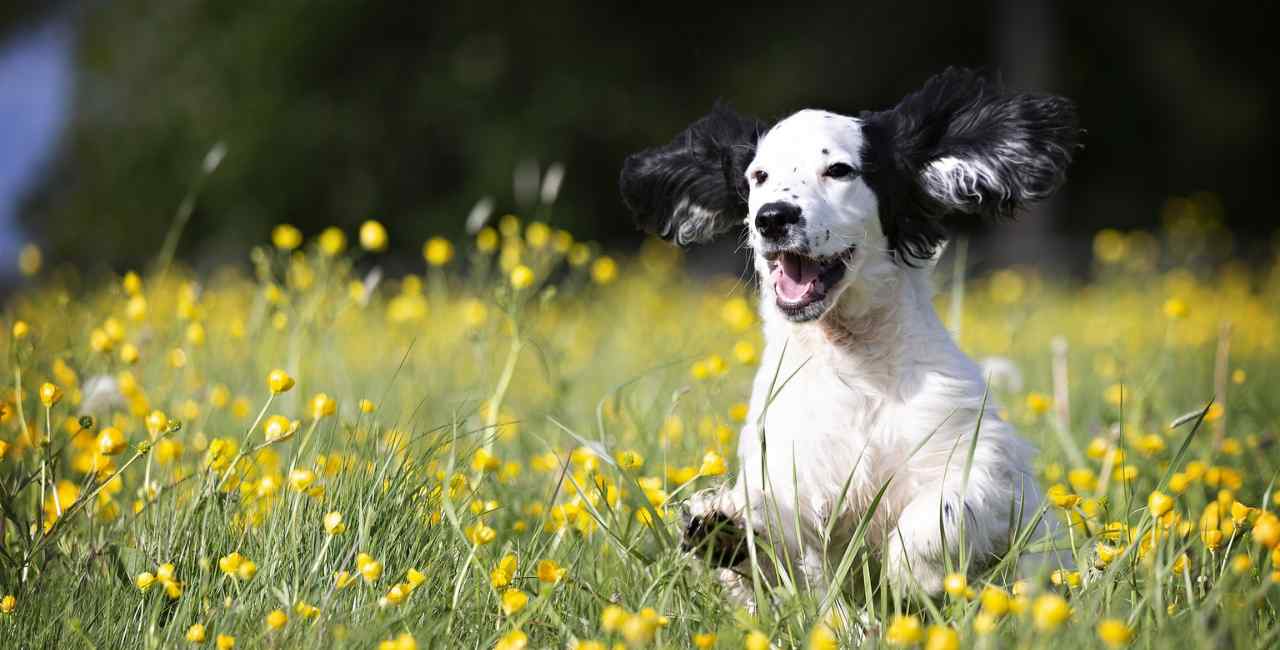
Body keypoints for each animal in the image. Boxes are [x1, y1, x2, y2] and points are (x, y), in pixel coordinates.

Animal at [619, 68, 1080, 601]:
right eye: (758, 177)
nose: (772, 217)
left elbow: (942, 510)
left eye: (839, 170)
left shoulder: (981, 459)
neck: (852, 361)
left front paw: (914, 573)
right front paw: (723, 528)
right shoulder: (789, 473)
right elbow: (774, 544)